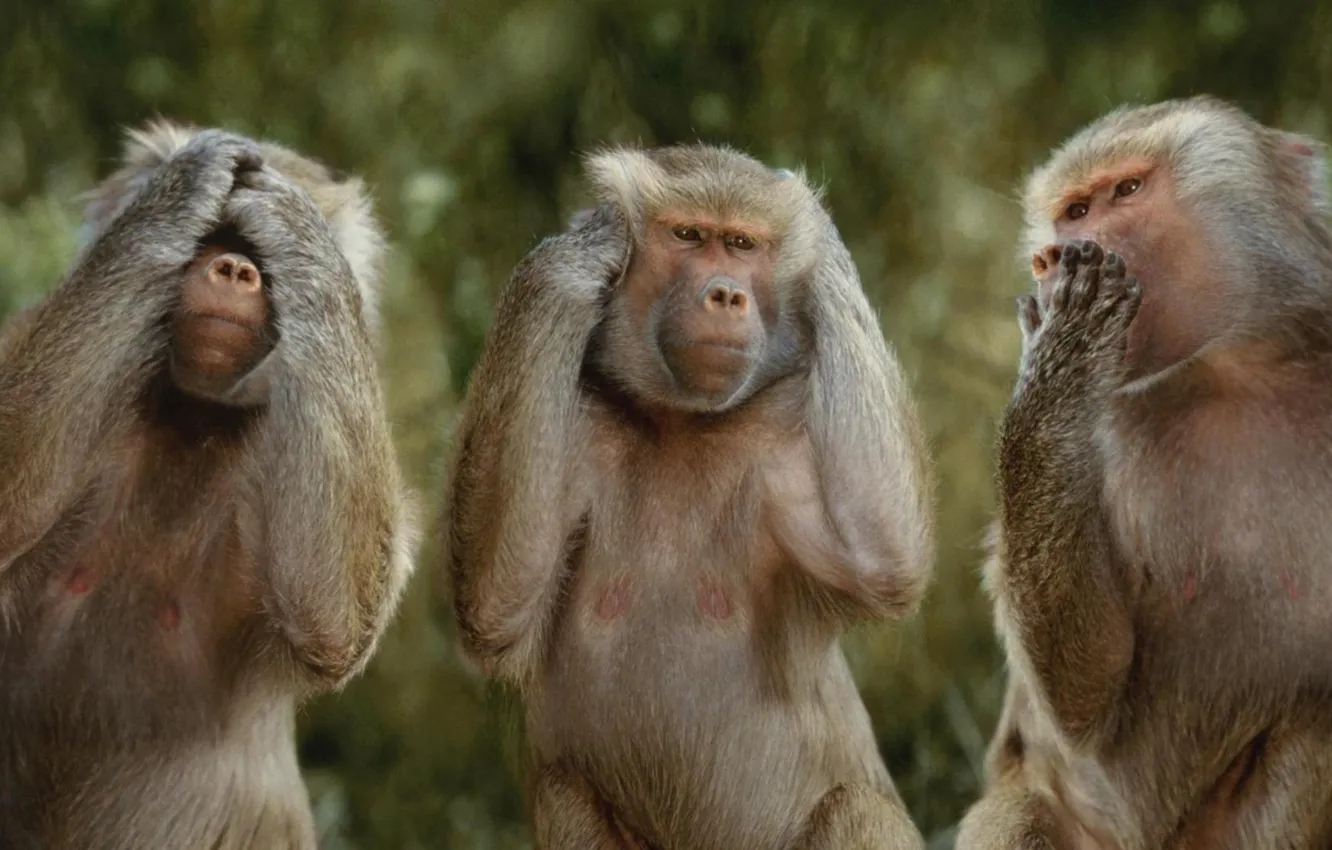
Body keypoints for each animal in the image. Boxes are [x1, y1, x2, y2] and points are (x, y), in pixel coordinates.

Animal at [0, 121, 418, 850]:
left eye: (258, 255)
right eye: (213, 237)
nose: (234, 269)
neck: (190, 416)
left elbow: (335, 617)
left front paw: (293, 220)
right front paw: (182, 186)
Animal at [443, 144, 936, 850]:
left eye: (742, 244)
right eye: (688, 235)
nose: (726, 293)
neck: (680, 423)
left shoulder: (782, 438)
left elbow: (884, 559)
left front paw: (823, 243)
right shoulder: (579, 423)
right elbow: (495, 608)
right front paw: (580, 250)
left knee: (858, 810)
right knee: (564, 793)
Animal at [955, 95, 1332, 850]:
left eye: (1126, 191)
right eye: (1073, 210)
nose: (1050, 256)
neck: (1232, 372)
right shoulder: (1103, 432)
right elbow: (1086, 694)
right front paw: (1060, 357)